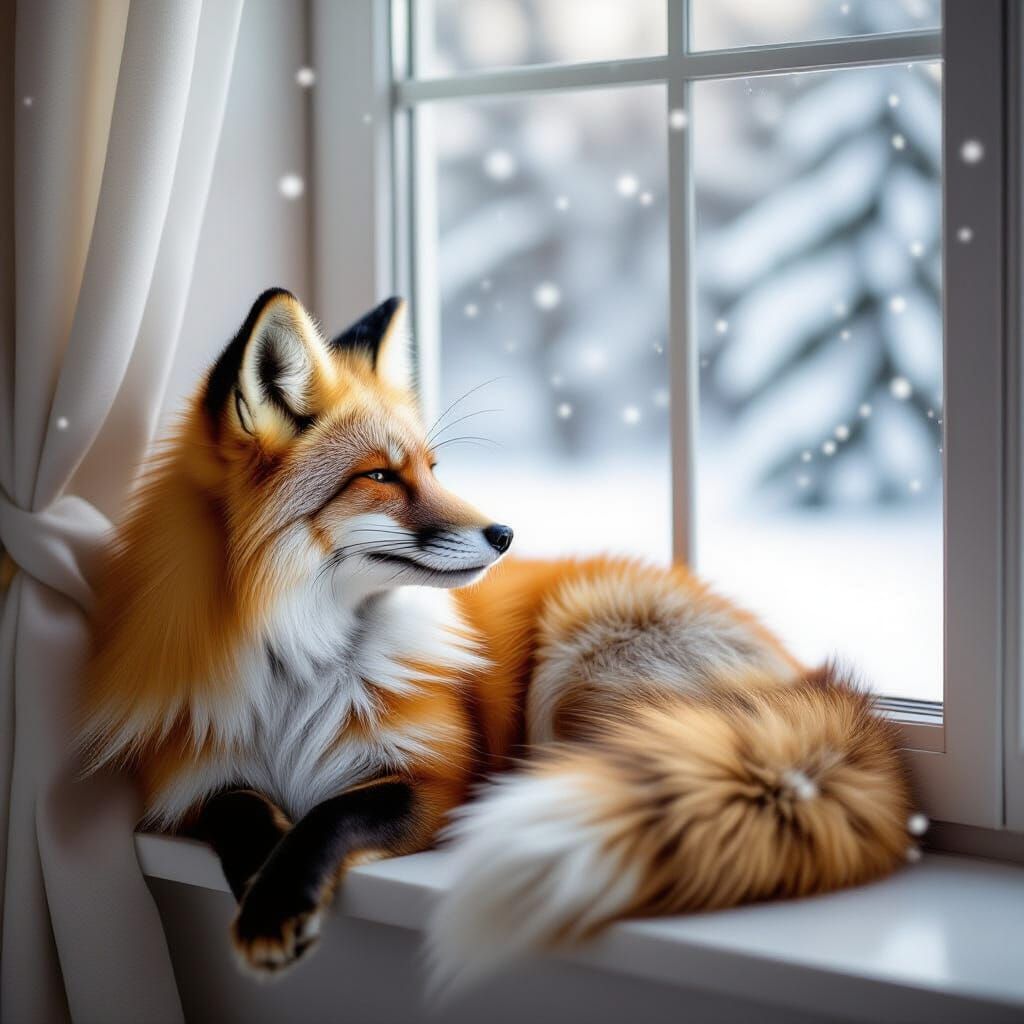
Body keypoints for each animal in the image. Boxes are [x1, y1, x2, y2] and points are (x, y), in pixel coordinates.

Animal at [81, 288, 917, 987]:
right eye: (381, 476)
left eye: (433, 466)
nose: (506, 533)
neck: (298, 667)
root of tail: (821, 687)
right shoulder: (191, 786)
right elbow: (249, 815)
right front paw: (263, 883)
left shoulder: (435, 776)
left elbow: (328, 815)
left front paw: (278, 893)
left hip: (579, 665)